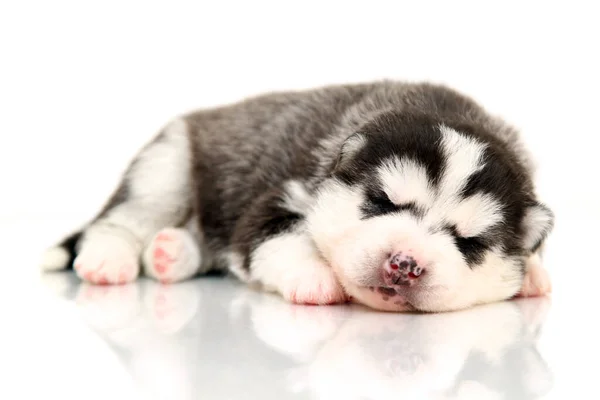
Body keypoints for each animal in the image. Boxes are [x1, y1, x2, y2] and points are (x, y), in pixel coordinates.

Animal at [41, 81, 552, 312]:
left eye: (468, 243)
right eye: (381, 202)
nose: (404, 264)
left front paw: (532, 273)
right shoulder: (279, 200)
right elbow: (281, 237)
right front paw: (315, 276)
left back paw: (170, 253)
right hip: (167, 164)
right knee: (122, 218)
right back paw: (109, 258)